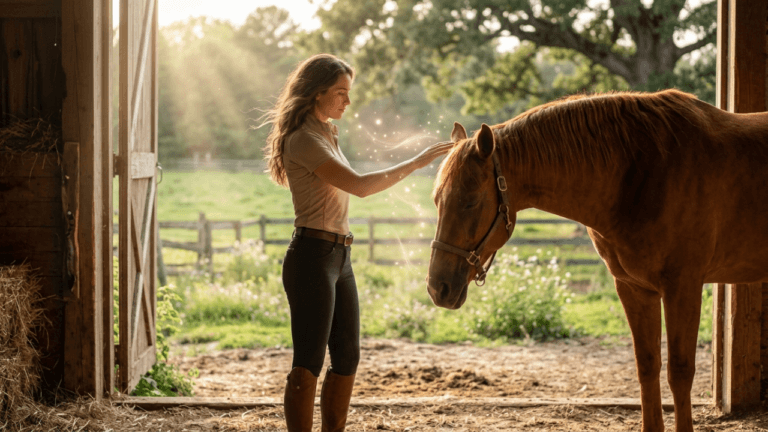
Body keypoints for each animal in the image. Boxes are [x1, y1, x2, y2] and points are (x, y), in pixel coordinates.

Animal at [427, 89, 768, 432]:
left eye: (470, 202)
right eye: (437, 200)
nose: (437, 288)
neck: (642, 172)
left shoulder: (682, 288)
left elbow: (680, 372)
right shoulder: (634, 289)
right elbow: (647, 366)